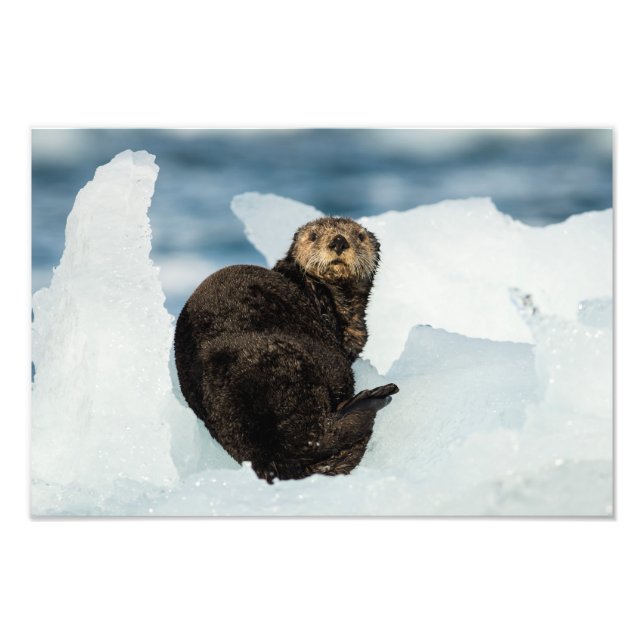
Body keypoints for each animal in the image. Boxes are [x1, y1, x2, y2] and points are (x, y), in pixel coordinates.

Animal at [174, 216, 398, 482]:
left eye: (359, 236)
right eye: (313, 236)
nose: (338, 241)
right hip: (305, 367)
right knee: (321, 434)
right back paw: (376, 396)